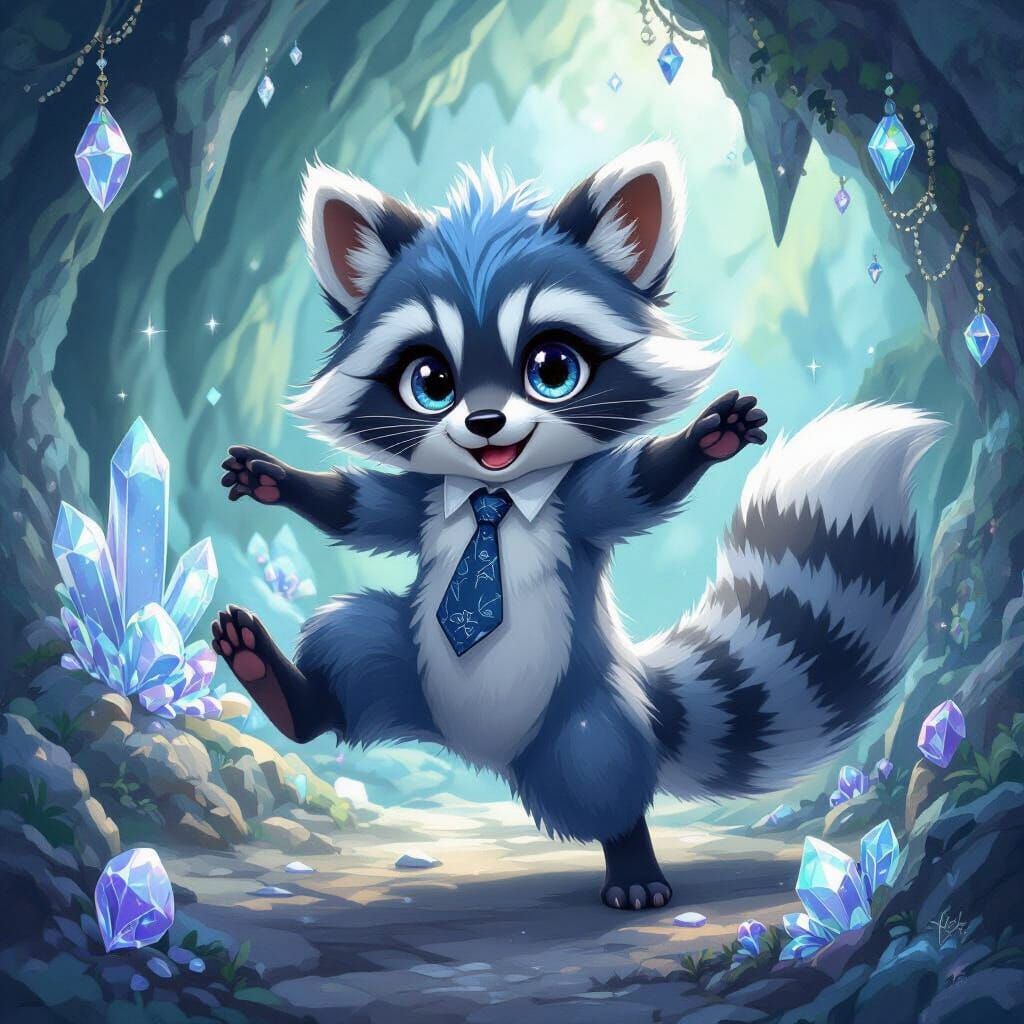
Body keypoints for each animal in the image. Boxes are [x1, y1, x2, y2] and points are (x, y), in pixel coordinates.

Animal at [214, 143, 941, 910]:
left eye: (553, 368)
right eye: (430, 381)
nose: (485, 424)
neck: (494, 495)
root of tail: (479, 749)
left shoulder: (578, 500)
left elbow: (636, 485)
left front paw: (703, 441)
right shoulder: (427, 501)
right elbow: (362, 508)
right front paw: (277, 480)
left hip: (584, 708)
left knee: (601, 770)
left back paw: (631, 861)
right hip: (406, 662)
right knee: (352, 643)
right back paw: (286, 690)